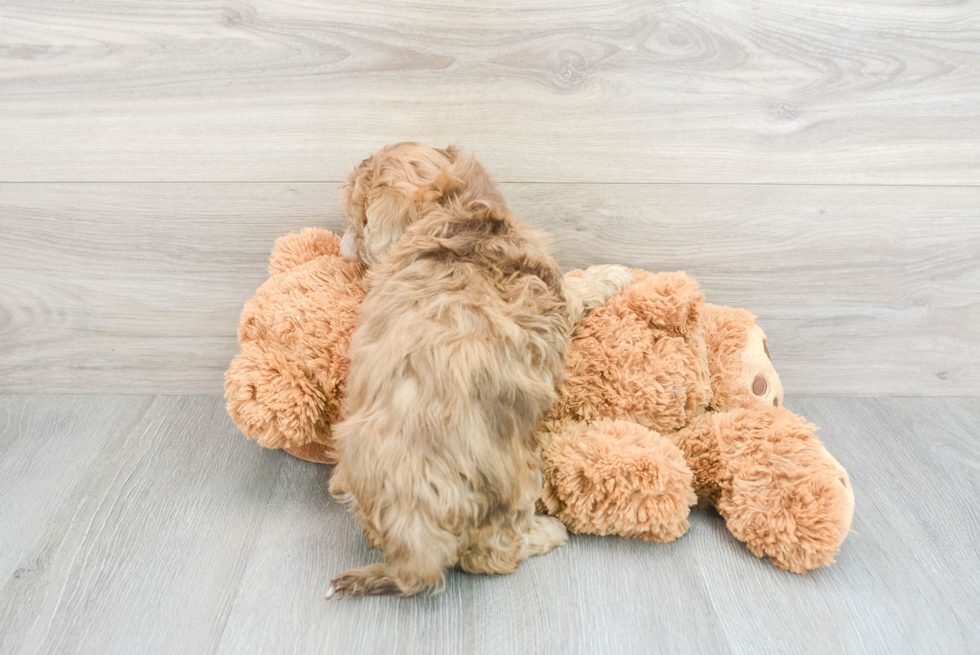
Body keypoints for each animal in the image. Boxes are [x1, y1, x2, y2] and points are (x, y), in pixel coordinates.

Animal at [326, 145, 632, 600]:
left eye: (354, 214)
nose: (344, 246)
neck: (456, 211)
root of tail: (413, 541)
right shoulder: (557, 295)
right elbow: (580, 286)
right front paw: (612, 274)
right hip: (514, 480)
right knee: (491, 556)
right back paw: (547, 532)